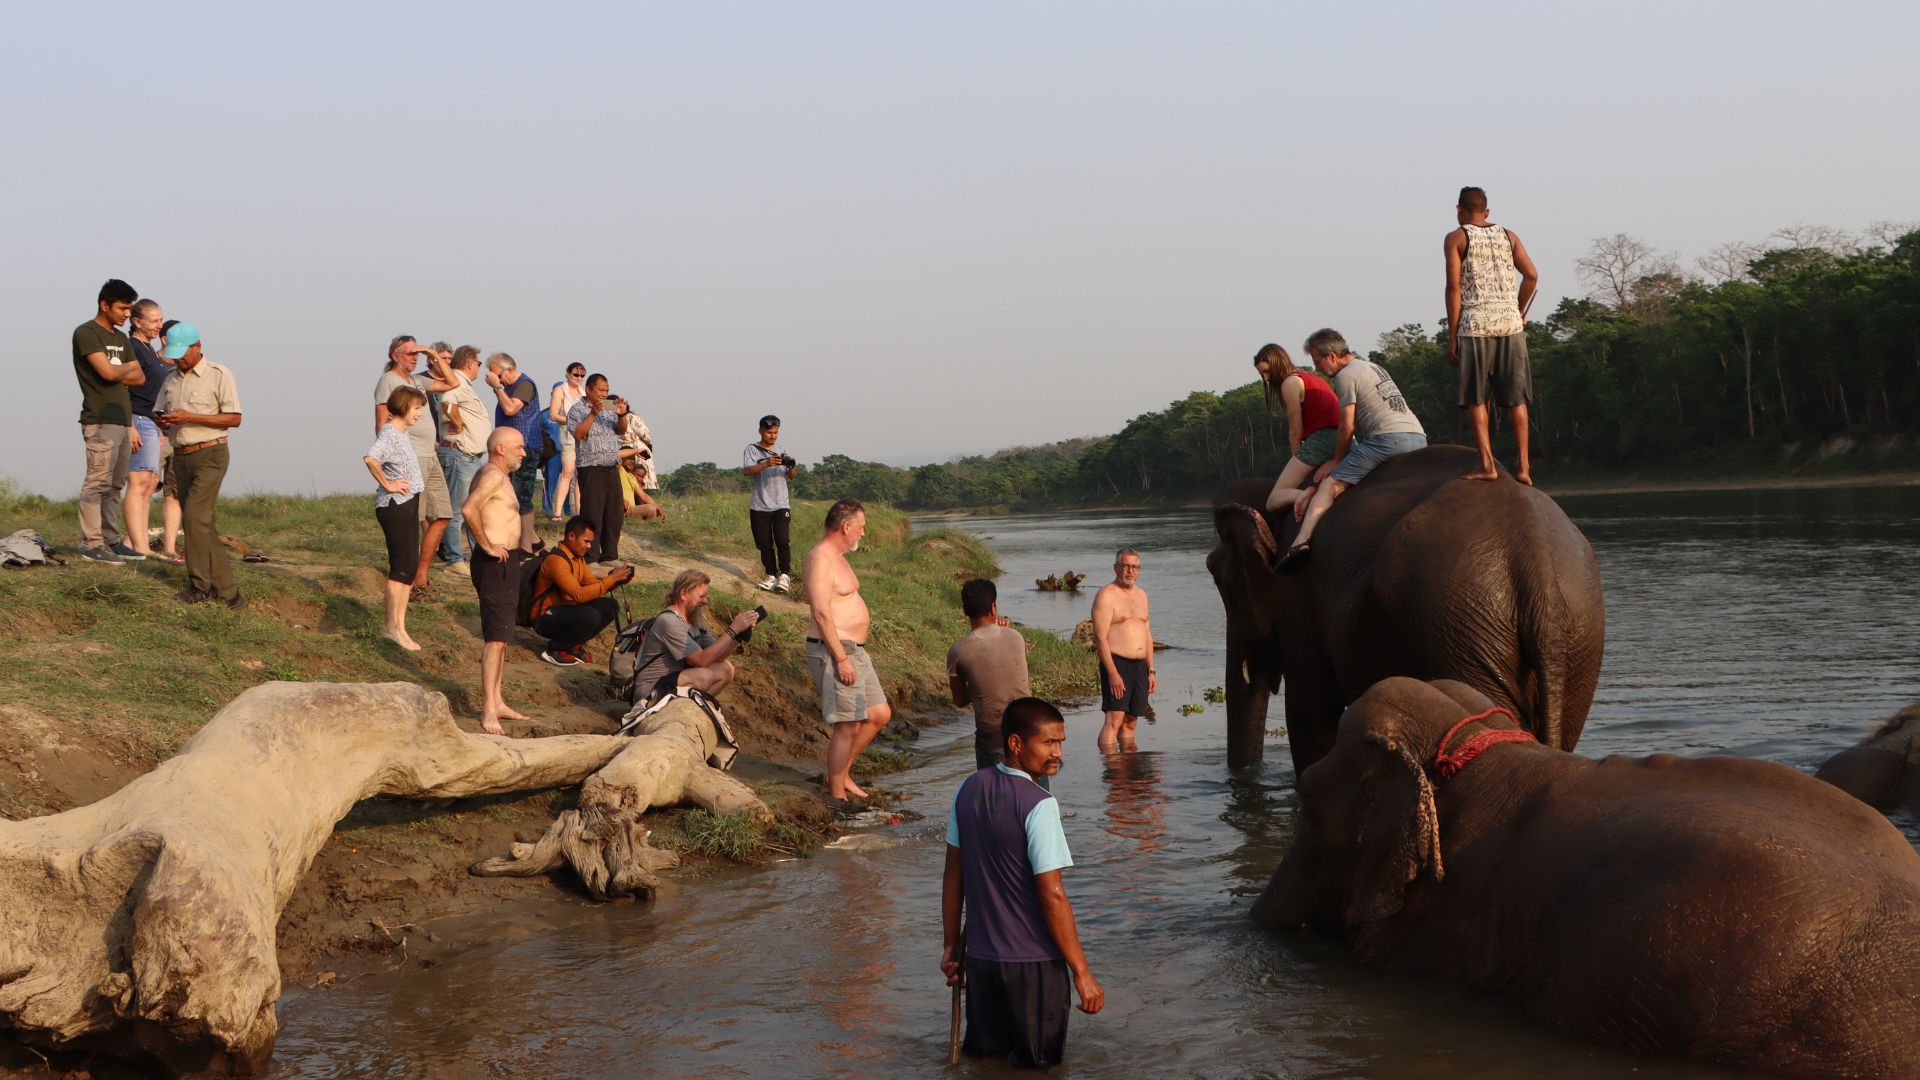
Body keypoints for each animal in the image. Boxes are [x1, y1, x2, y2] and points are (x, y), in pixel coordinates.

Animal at [1213, 441, 1605, 768]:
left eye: (1218, 578)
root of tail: (1536, 566)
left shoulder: (1297, 591)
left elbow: (1312, 720)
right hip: (1575, 639)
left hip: (1455, 627)